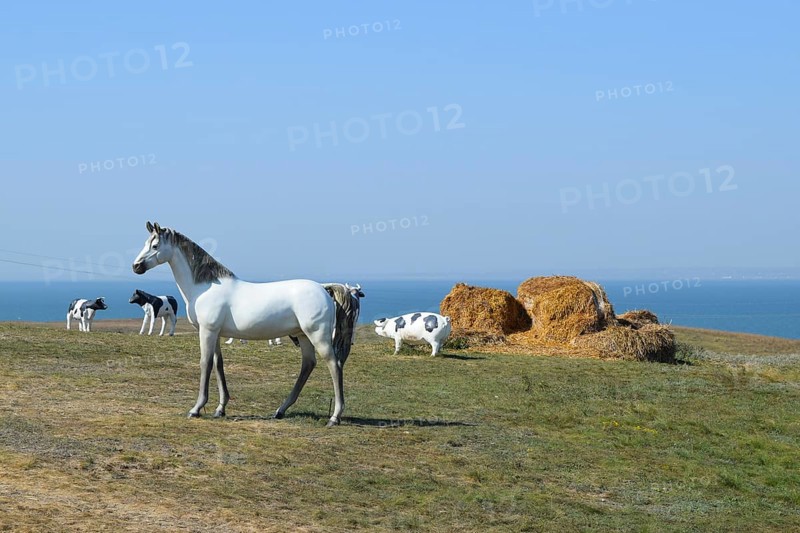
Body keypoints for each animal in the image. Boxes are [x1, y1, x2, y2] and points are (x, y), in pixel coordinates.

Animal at [131, 221, 357, 426]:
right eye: (145, 243)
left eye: (155, 245)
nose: (136, 266)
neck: (205, 287)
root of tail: (323, 288)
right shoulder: (216, 334)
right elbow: (218, 365)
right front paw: (220, 408)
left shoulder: (207, 332)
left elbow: (205, 364)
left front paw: (196, 409)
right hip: (302, 335)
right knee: (308, 365)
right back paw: (280, 410)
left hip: (318, 335)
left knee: (334, 365)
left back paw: (334, 417)